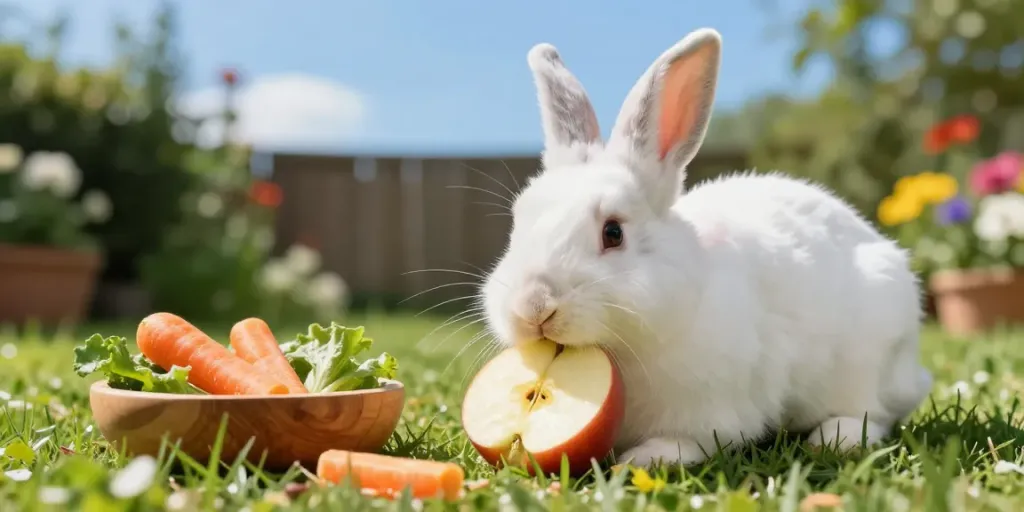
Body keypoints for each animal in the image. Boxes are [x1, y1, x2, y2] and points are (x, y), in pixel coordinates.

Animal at [478, 27, 934, 468]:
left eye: (613, 233)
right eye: (518, 223)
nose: (533, 306)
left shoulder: (715, 412)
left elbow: (693, 441)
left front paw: (646, 458)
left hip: (870, 358)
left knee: (873, 415)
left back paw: (835, 438)